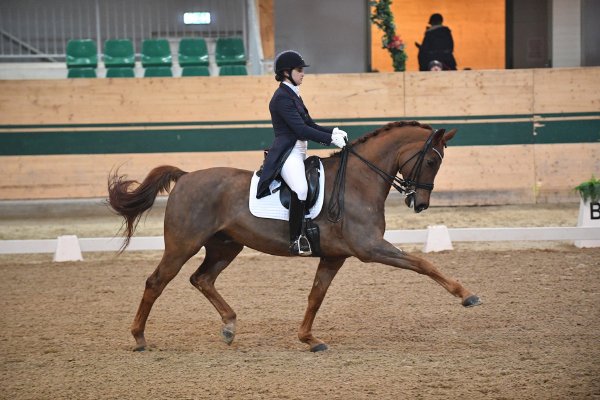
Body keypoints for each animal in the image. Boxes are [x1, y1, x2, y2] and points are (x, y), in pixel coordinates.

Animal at [108, 120, 482, 352]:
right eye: (432, 161)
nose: (420, 204)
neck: (358, 180)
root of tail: (185, 177)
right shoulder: (370, 248)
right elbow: (422, 263)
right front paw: (466, 295)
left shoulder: (334, 256)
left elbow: (315, 296)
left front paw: (309, 339)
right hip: (183, 245)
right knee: (156, 282)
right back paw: (139, 338)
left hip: (226, 246)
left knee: (202, 279)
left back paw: (229, 326)